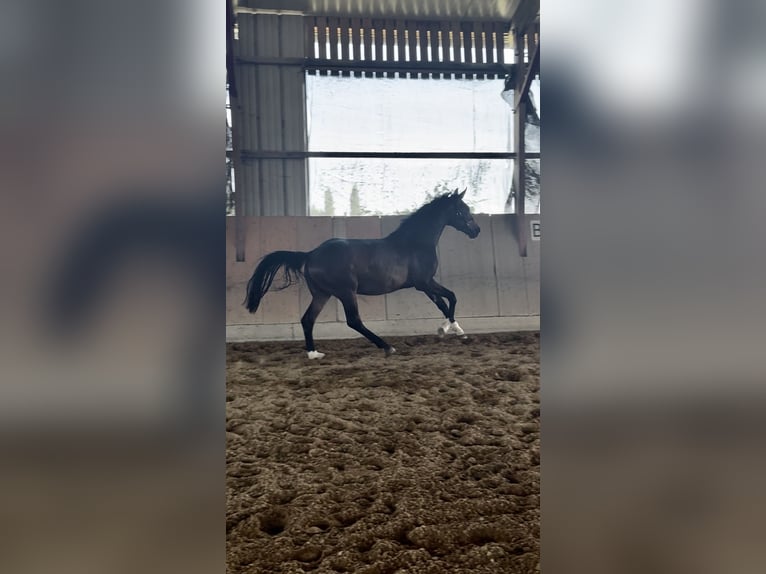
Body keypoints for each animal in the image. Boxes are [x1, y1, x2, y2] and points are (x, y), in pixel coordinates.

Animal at [244, 188, 481, 358]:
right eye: (462, 210)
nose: (476, 231)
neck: (415, 243)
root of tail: (311, 254)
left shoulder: (423, 285)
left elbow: (442, 303)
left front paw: (455, 330)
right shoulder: (424, 282)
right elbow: (451, 297)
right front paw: (449, 329)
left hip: (322, 294)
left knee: (308, 319)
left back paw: (314, 353)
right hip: (346, 292)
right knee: (353, 321)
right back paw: (386, 347)